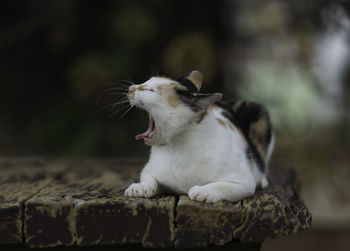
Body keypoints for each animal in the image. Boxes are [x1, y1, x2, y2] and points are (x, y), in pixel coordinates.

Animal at [123, 70, 274, 202]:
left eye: (151, 90)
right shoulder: (149, 170)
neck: (177, 147)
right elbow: (149, 178)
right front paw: (140, 187)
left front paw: (203, 191)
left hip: (257, 111)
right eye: (146, 81)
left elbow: (221, 185)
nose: (130, 88)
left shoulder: (243, 182)